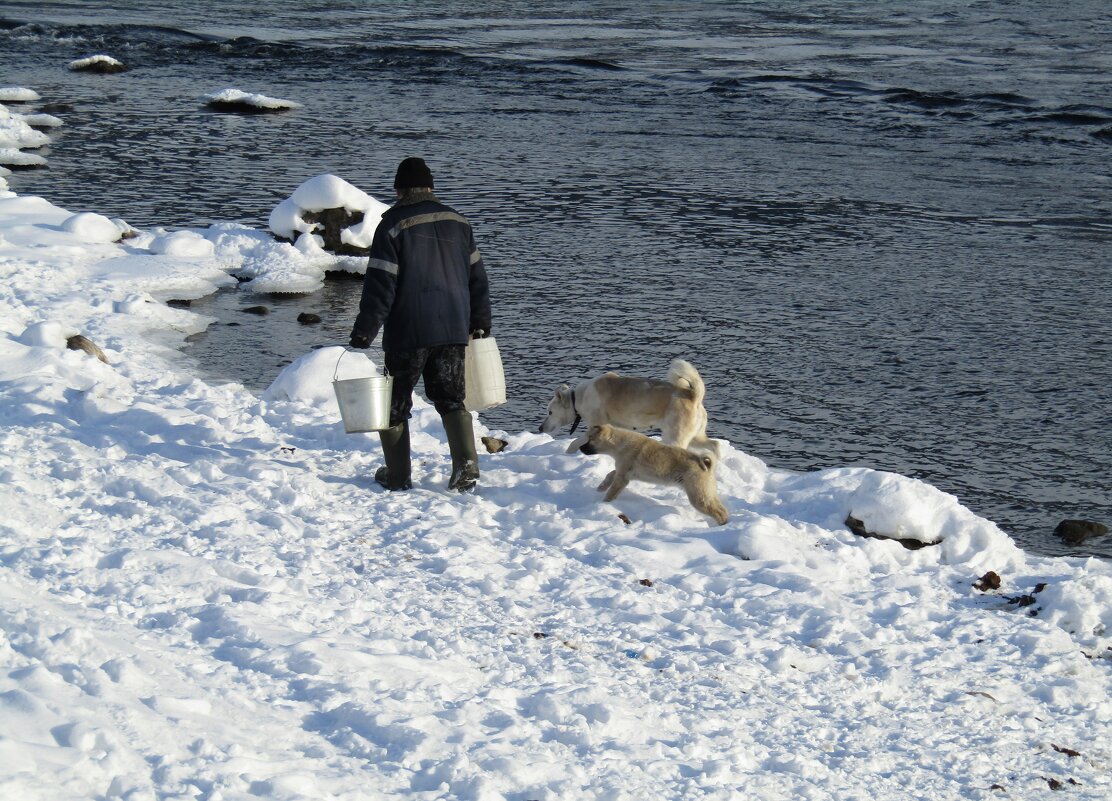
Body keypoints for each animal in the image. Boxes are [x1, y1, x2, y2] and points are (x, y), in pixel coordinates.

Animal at [540, 358, 716, 456]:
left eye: (550, 412)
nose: (540, 428)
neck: (578, 398)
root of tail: (694, 396)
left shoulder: (596, 424)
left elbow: (574, 443)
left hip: (675, 436)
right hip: (695, 436)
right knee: (715, 446)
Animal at [573, 422, 729, 529]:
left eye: (590, 439)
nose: (580, 448)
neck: (619, 443)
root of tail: (707, 466)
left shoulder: (623, 477)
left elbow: (612, 492)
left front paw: (604, 503)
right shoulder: (622, 472)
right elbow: (610, 474)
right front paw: (601, 486)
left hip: (698, 496)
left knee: (719, 512)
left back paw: (721, 526)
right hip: (706, 492)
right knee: (721, 508)